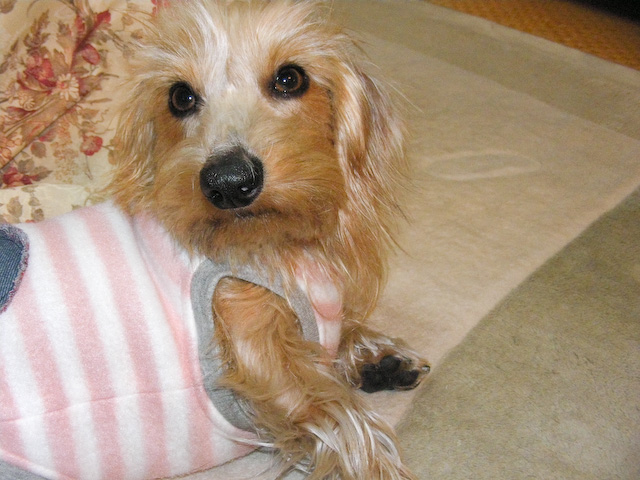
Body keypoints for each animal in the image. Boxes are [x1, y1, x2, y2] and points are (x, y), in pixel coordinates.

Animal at [0, 1, 429, 478]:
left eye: (290, 78)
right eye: (181, 96)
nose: (228, 181)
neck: (271, 246)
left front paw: (376, 356)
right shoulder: (272, 370)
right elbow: (349, 420)